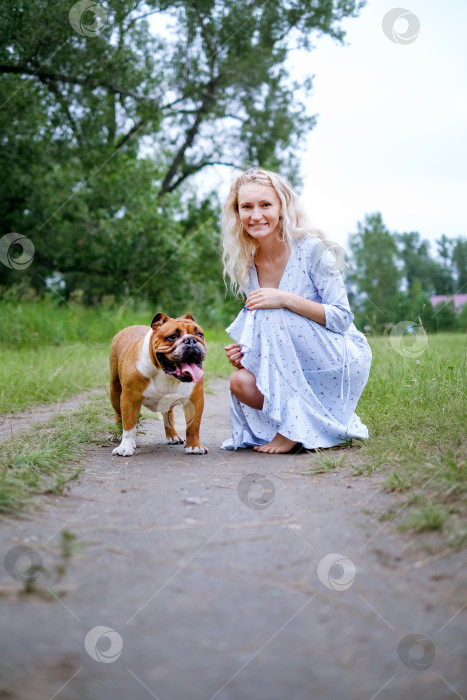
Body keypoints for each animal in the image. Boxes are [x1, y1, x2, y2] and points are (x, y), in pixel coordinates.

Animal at [110, 314, 208, 456]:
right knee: (118, 414)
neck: (165, 373)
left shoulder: (195, 400)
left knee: (168, 415)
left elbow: (193, 425)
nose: (191, 340)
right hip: (115, 390)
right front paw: (125, 446)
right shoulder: (129, 399)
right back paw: (118, 434)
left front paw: (194, 446)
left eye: (200, 334)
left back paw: (173, 436)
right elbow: (129, 425)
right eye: (173, 336)